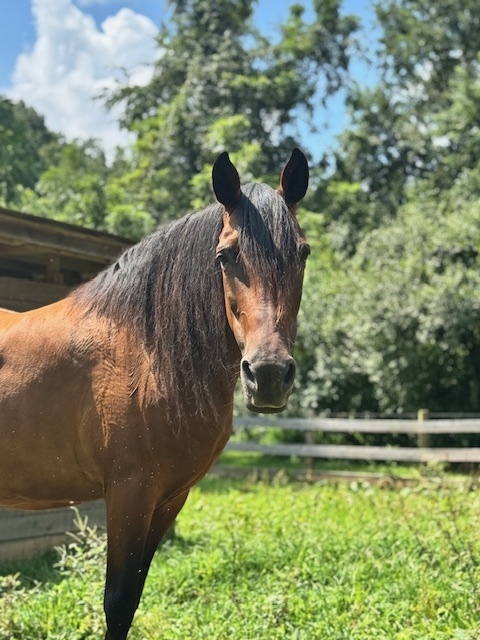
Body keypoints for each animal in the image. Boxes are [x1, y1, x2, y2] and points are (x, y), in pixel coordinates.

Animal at [0, 149, 309, 639]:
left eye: (303, 252)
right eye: (226, 255)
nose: (268, 374)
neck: (146, 355)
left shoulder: (168, 499)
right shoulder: (129, 495)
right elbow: (118, 601)